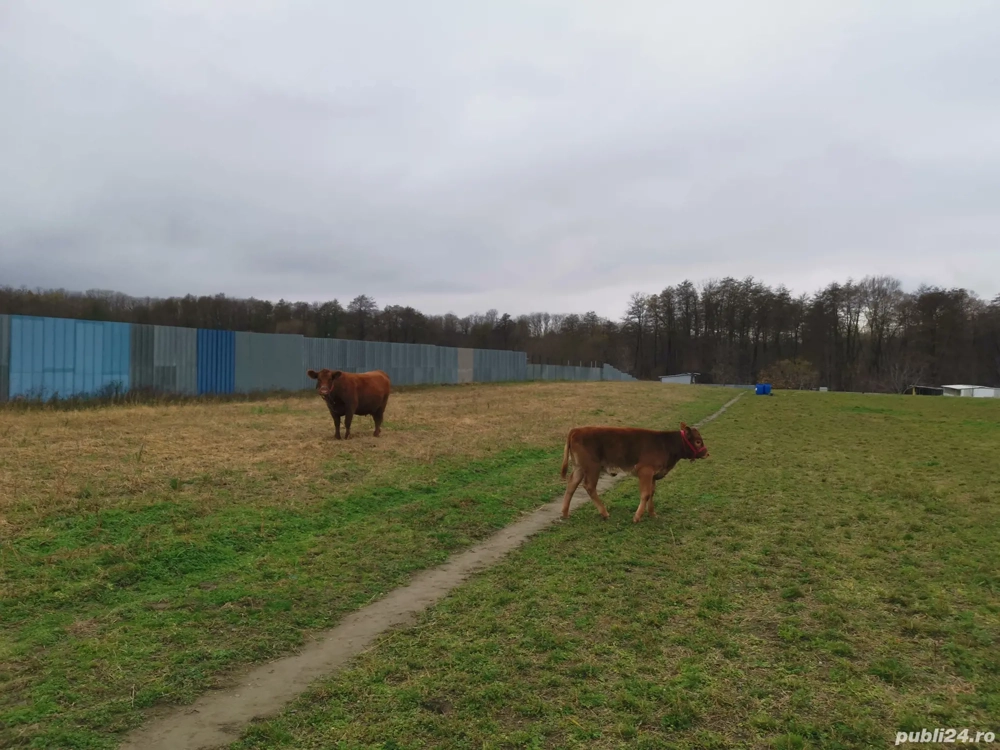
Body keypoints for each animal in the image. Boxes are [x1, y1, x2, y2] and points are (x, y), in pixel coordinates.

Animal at [559, 422, 710, 523]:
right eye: (698, 441)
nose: (707, 453)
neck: (665, 444)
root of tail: (577, 429)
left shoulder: (653, 475)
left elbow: (652, 493)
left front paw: (652, 513)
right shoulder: (645, 471)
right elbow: (646, 493)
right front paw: (637, 517)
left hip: (579, 467)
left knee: (571, 484)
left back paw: (565, 513)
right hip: (592, 467)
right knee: (589, 486)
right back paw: (604, 513)